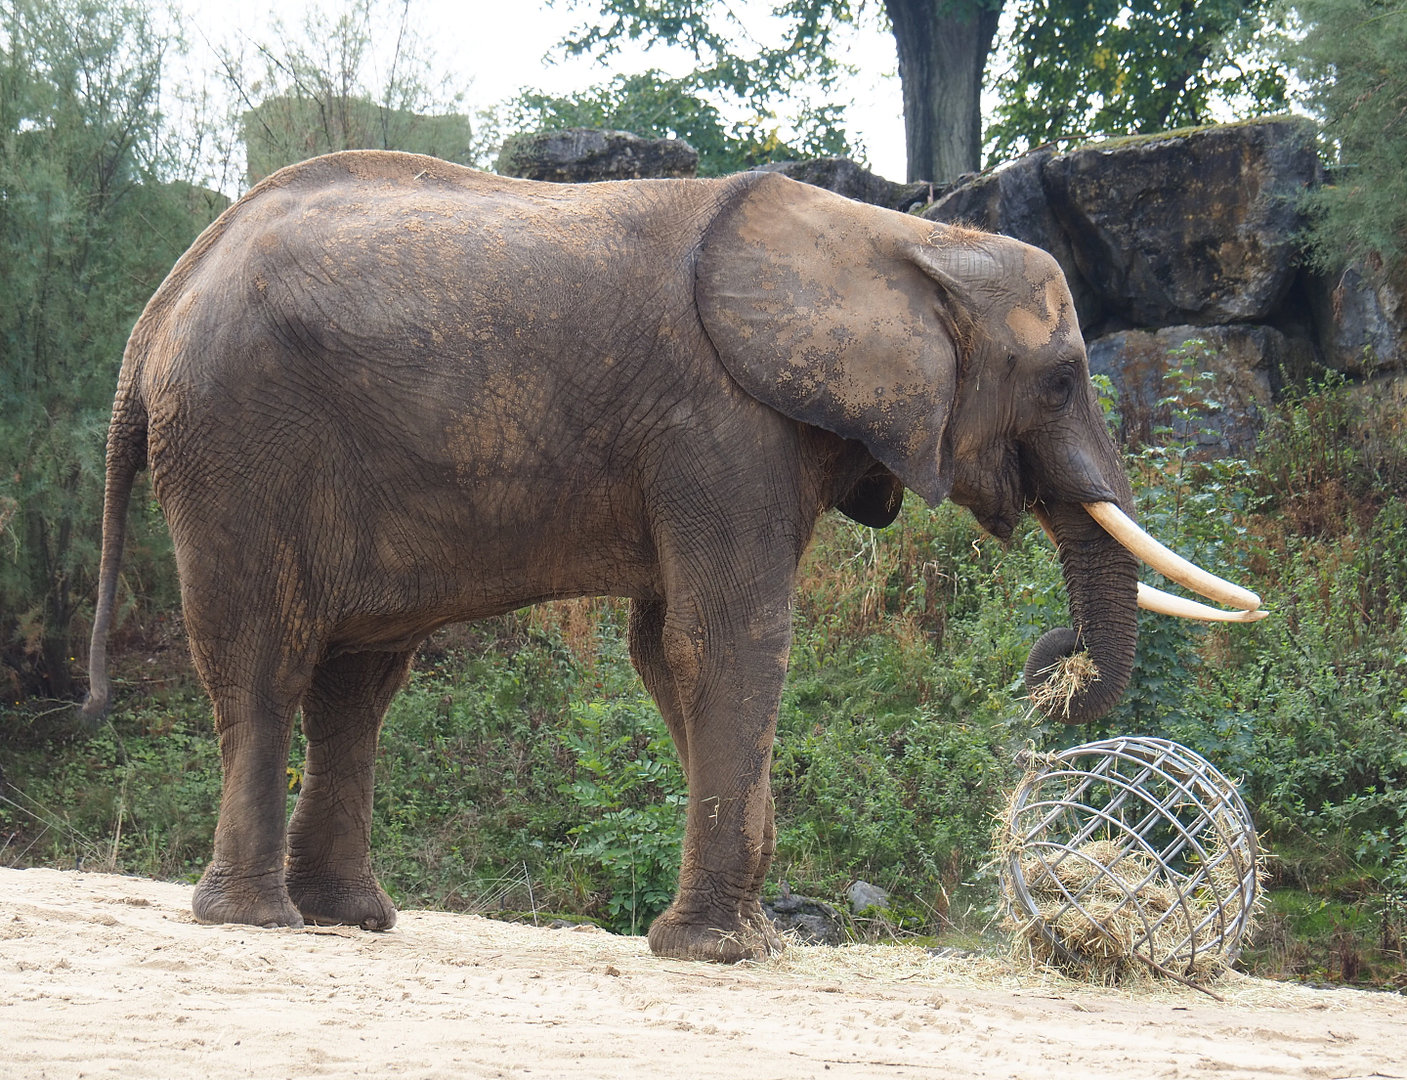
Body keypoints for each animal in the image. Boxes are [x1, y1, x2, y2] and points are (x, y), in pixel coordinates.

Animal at [84, 150, 1263, 962]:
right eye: (1061, 380)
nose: (1046, 667)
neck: (895, 236)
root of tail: (154, 312)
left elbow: (666, 650)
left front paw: (750, 938)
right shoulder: (720, 422)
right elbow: (725, 639)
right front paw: (728, 951)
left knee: (358, 681)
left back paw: (351, 921)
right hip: (239, 442)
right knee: (266, 660)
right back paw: (258, 921)